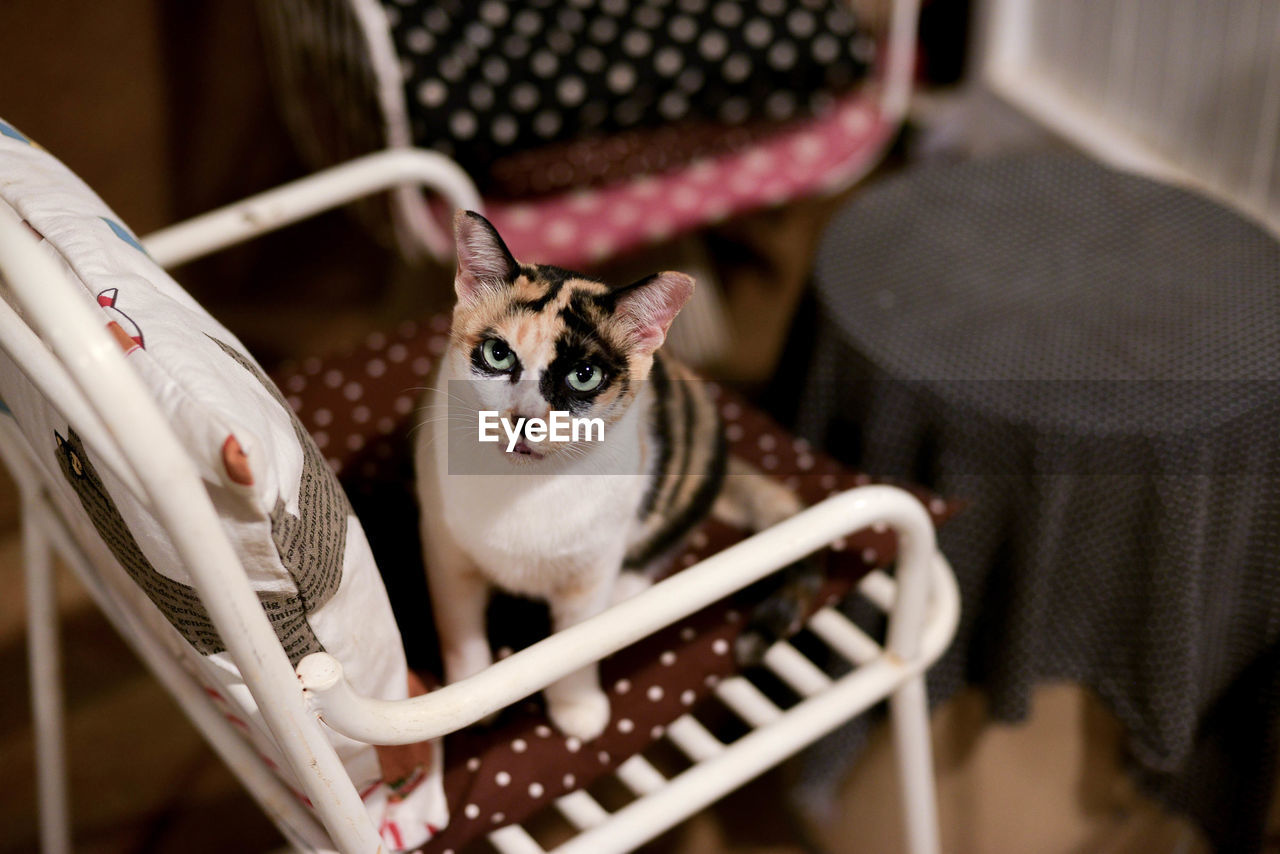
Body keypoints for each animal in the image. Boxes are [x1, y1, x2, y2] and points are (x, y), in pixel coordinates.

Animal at [422, 212, 808, 742]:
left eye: (584, 375)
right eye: (498, 354)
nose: (523, 419)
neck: (522, 492)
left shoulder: (592, 564)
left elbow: (575, 642)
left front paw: (576, 706)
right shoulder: (445, 549)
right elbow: (459, 628)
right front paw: (473, 694)